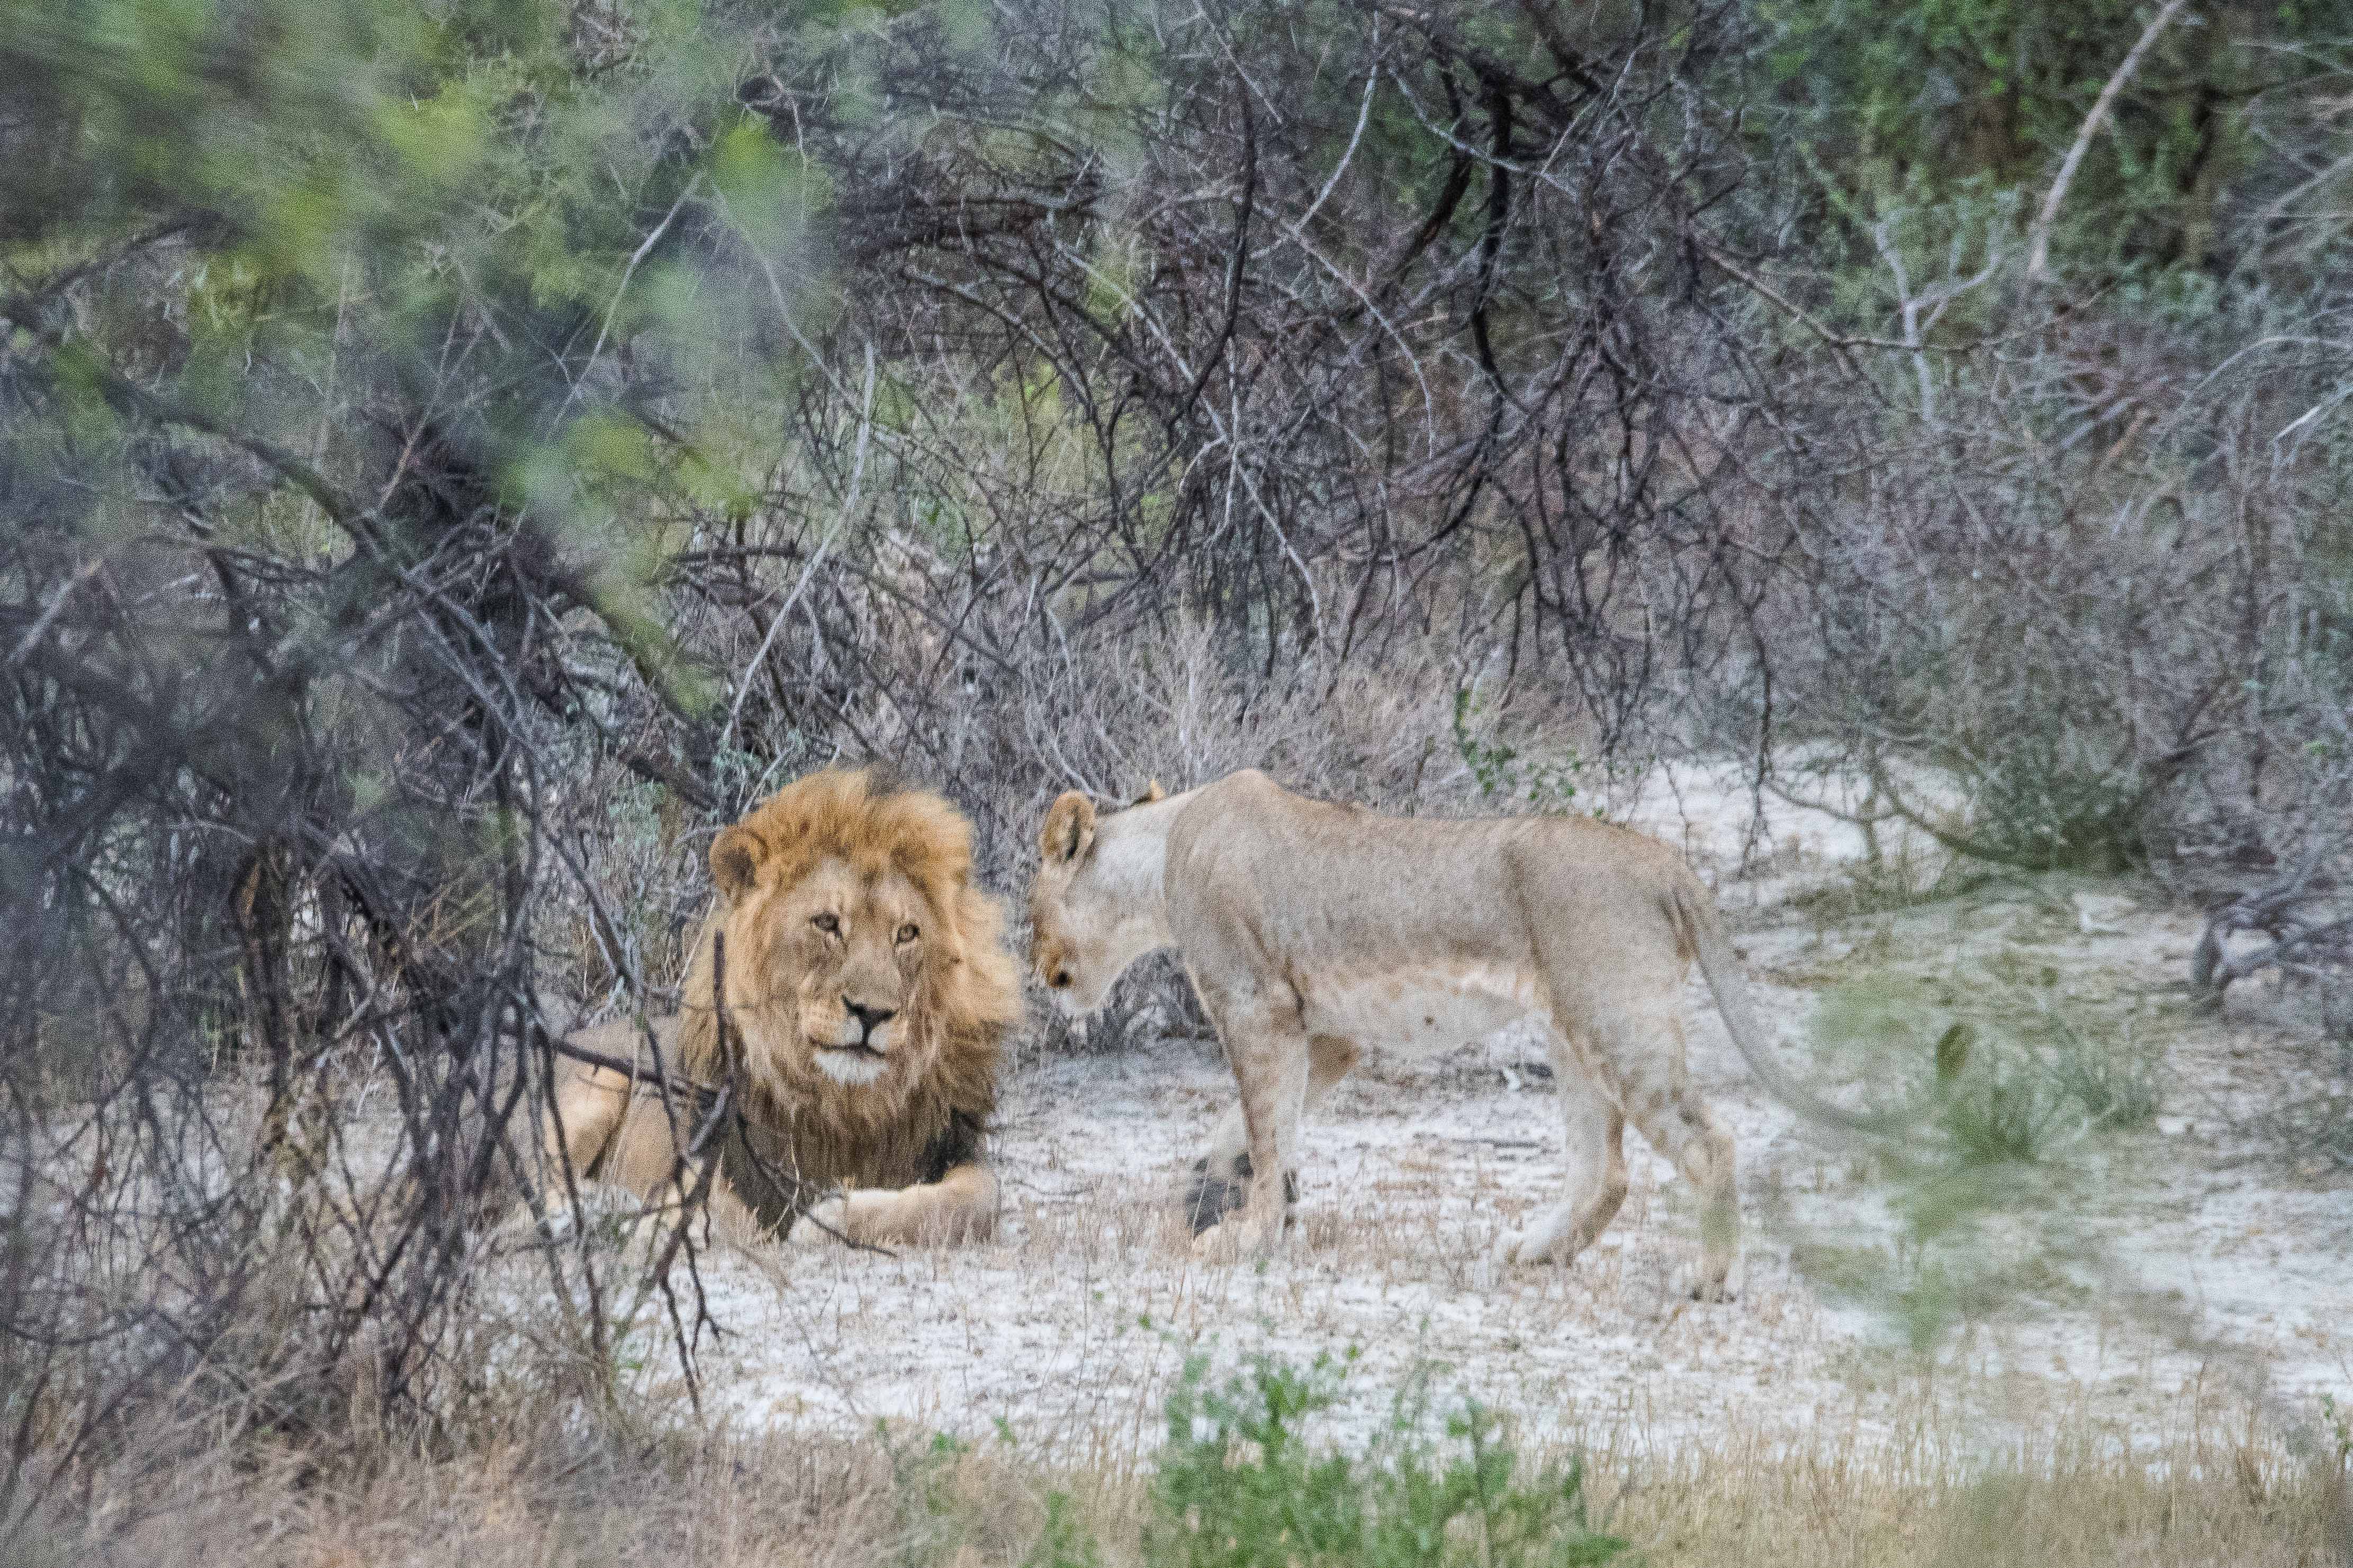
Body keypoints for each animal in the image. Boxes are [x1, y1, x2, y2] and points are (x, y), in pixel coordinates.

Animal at [551, 771, 1030, 1250]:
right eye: (827, 923)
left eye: (907, 933)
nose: (872, 1013)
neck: (842, 1106)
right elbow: (726, 1213)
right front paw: (658, 1219)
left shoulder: (954, 1149)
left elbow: (977, 1202)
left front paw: (830, 1217)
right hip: (595, 1085)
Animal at [1030, 771, 1891, 1298]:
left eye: (1032, 903)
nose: (1038, 969)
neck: (1165, 850)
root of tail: (1667, 862)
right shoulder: (1326, 1031)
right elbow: (1258, 1128)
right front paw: (1212, 1196)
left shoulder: (1254, 1004)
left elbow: (1267, 1129)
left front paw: (1247, 1239)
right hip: (1572, 1029)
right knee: (1605, 1169)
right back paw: (1533, 1250)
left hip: (1615, 1018)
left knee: (1707, 1142)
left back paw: (1710, 1279)